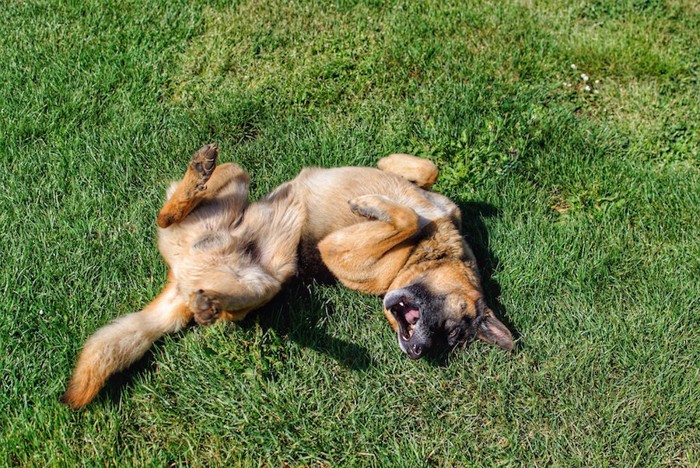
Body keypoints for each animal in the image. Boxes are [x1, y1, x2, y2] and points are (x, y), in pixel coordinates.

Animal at [63, 144, 512, 408]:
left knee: (228, 312)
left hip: (266, 280)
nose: (419, 351)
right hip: (236, 177)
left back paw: (211, 304)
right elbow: (422, 178)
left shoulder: (338, 252)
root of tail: (181, 280)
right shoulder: (417, 197)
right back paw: (197, 173)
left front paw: (378, 207)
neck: (431, 247)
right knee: (168, 212)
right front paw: (377, 198)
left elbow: (407, 213)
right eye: (453, 331)